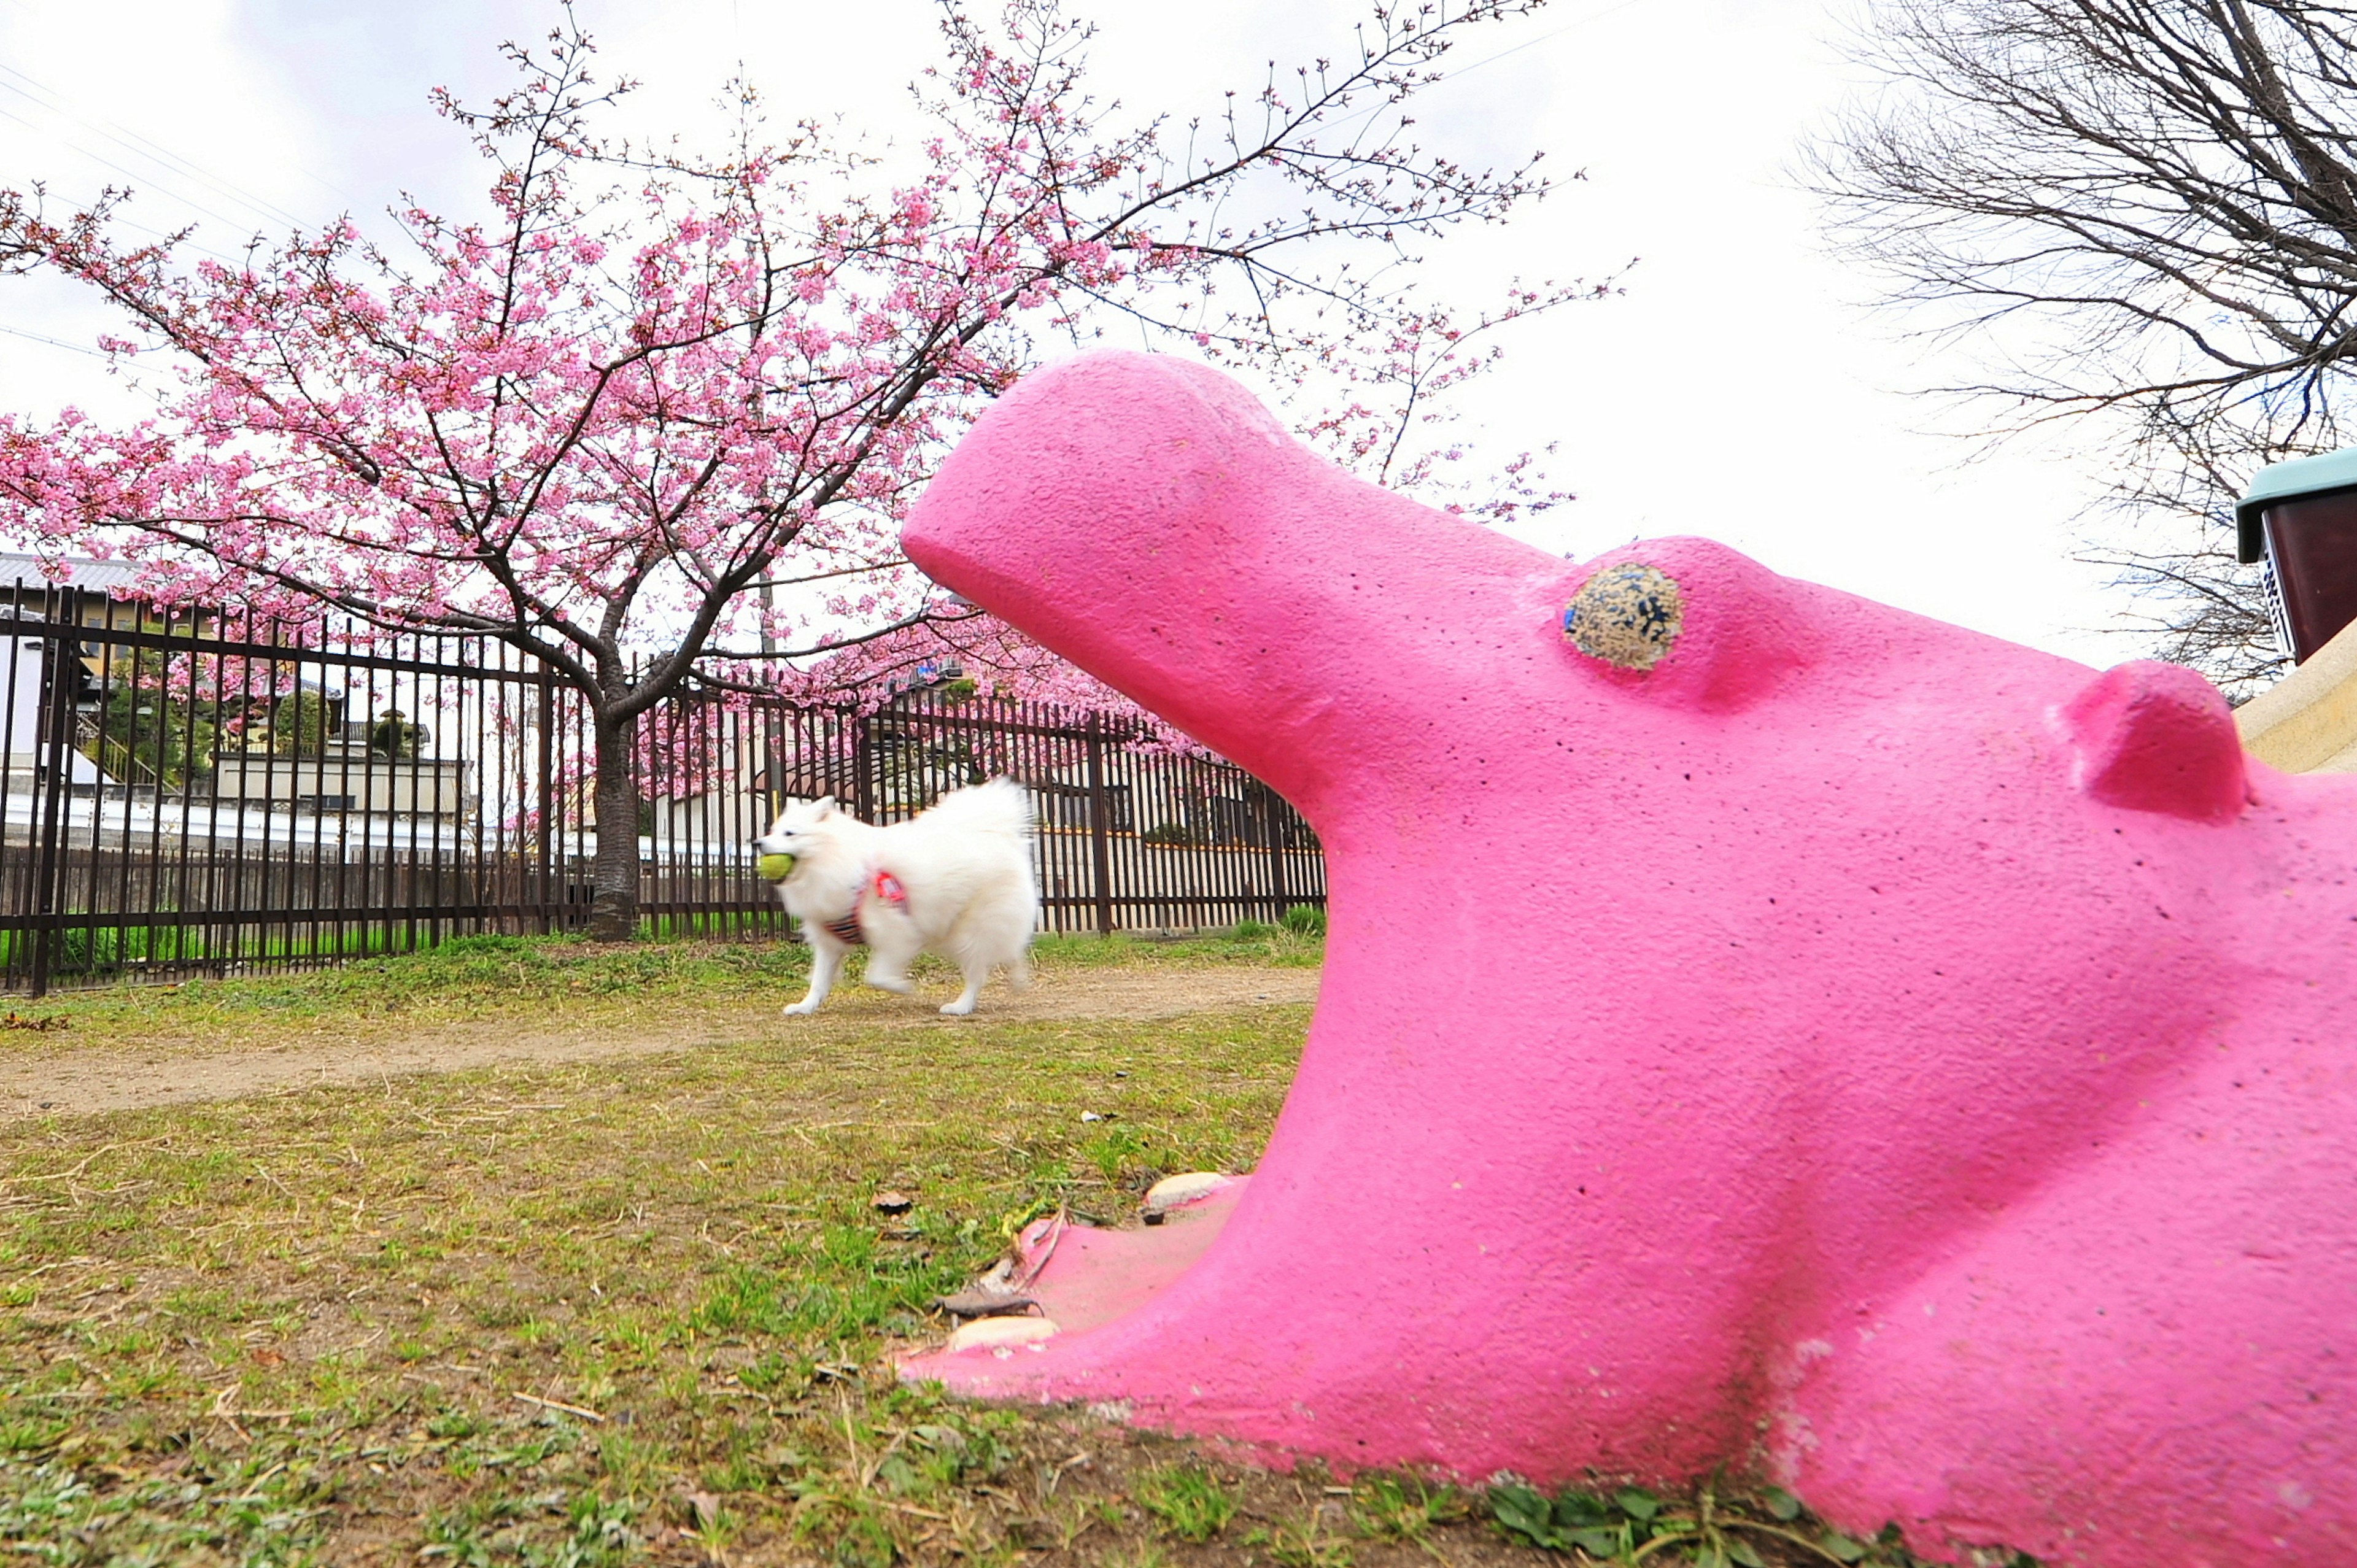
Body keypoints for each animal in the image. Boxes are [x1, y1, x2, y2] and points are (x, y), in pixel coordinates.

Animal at [759, 778, 1037, 1014]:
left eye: (790, 834)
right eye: (773, 830)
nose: (758, 843)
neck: (832, 859)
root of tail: (996, 834)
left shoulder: (896, 932)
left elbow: (875, 976)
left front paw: (902, 987)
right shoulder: (829, 942)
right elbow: (819, 981)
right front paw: (804, 1007)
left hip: (971, 931)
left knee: (979, 971)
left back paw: (962, 1006)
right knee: (1009, 950)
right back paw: (1017, 982)